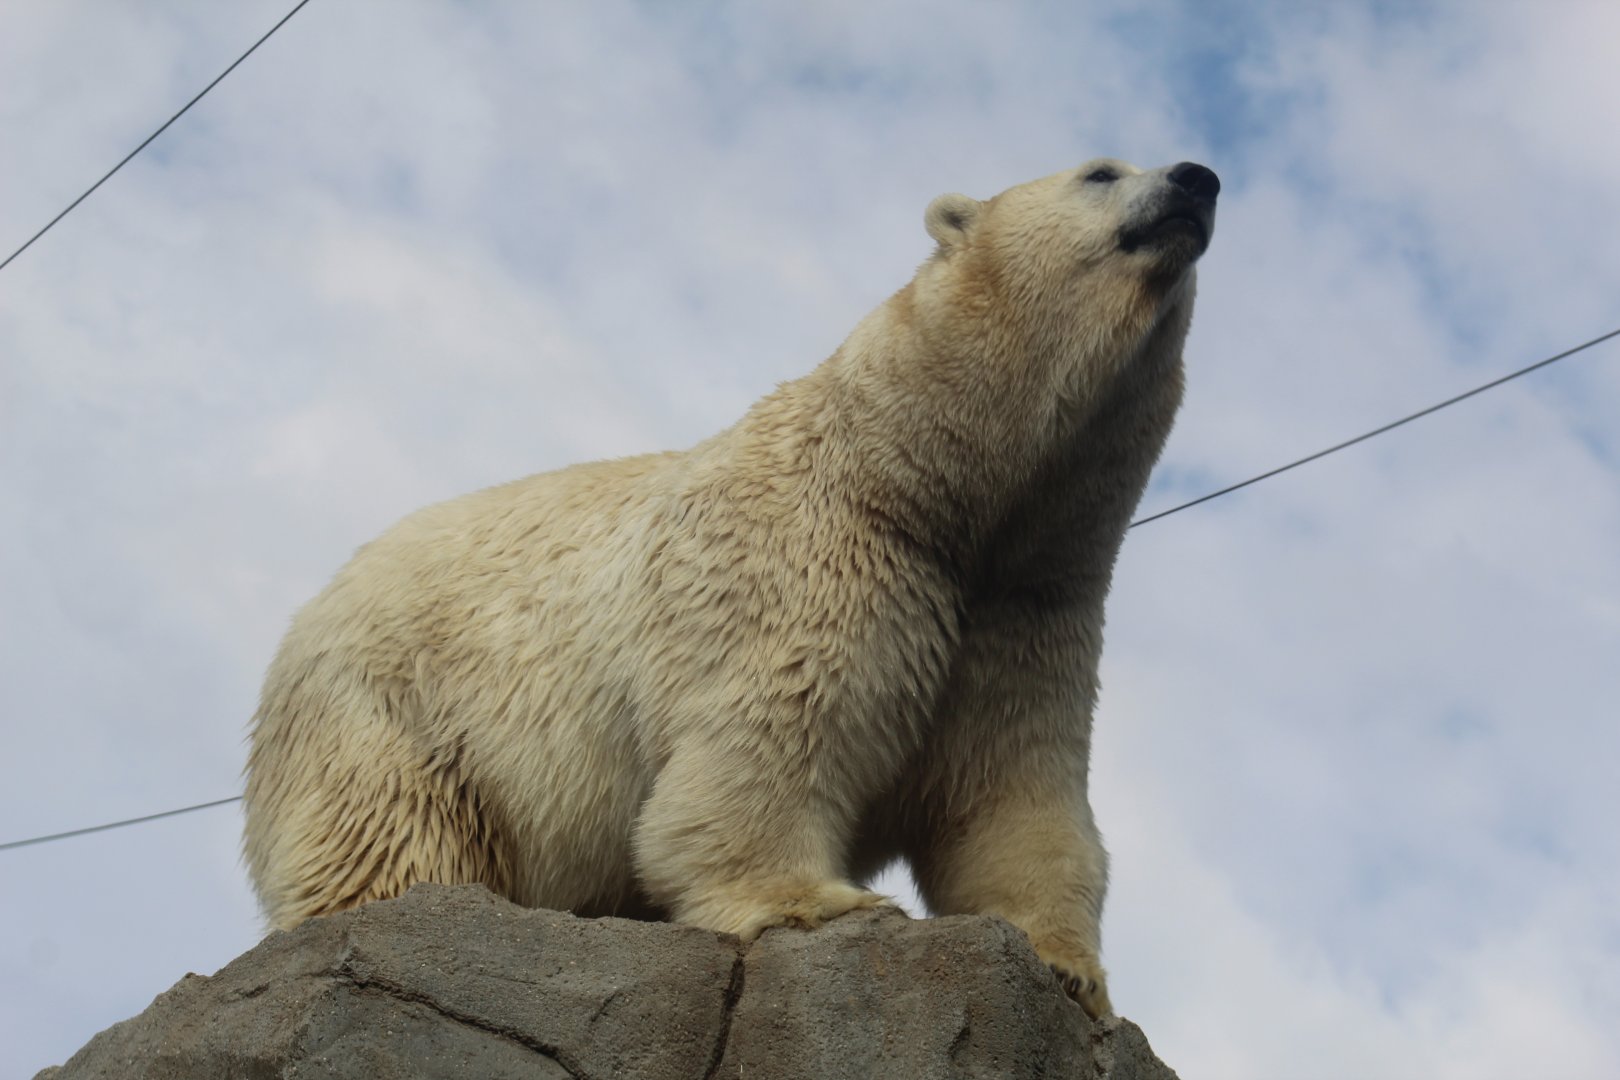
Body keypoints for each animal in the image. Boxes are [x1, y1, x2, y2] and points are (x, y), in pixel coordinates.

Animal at [242, 157, 1219, 1020]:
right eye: (1100, 171)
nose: (1197, 177)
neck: (919, 482)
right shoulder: (815, 561)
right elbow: (777, 733)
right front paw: (822, 903)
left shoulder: (1026, 612)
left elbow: (1010, 791)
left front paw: (1071, 970)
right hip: (391, 713)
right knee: (389, 839)